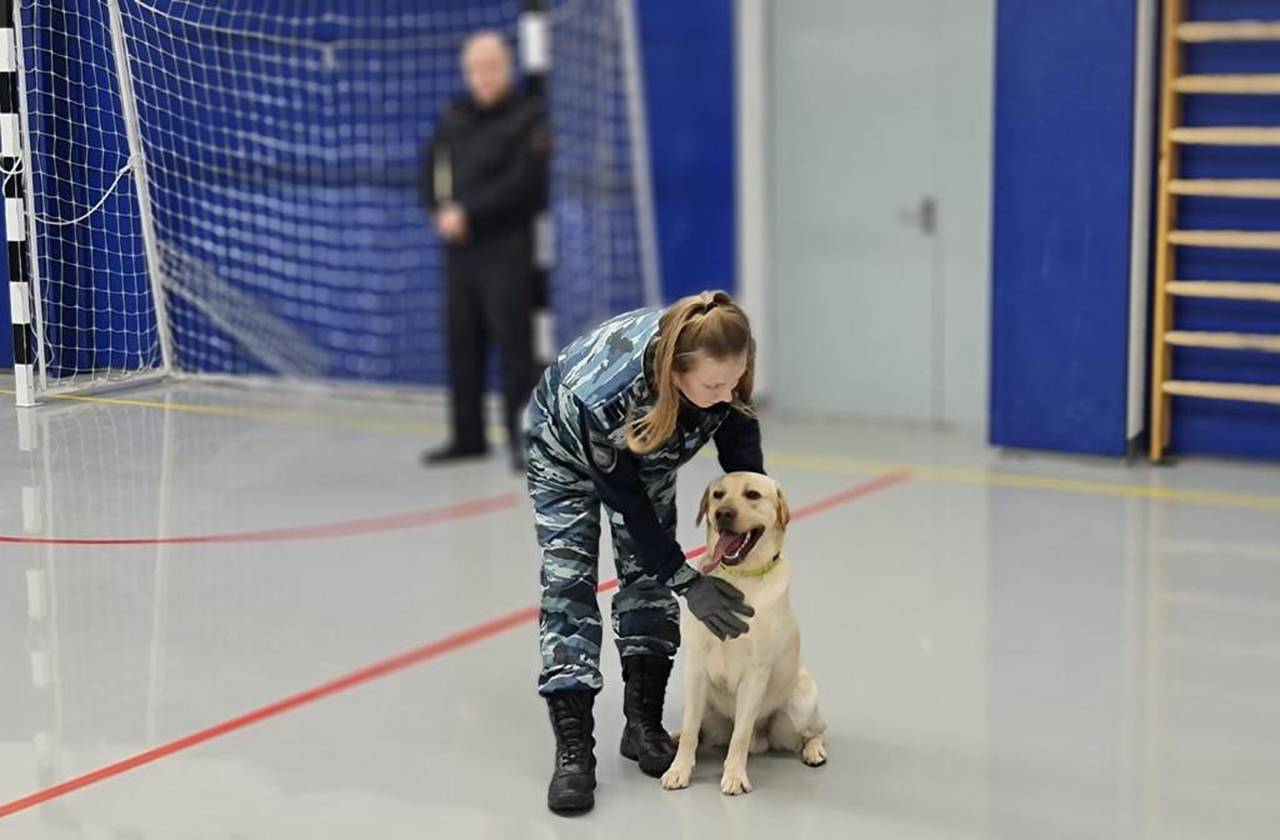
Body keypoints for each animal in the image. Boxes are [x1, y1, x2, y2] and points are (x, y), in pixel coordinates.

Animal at [661, 472, 827, 795]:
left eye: (752, 495)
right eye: (718, 495)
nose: (723, 514)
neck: (741, 579)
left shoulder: (755, 673)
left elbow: (740, 734)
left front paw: (735, 776)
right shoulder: (696, 668)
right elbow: (690, 731)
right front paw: (678, 770)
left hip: (798, 708)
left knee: (814, 731)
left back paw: (814, 751)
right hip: (708, 709)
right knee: (697, 730)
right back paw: (673, 736)